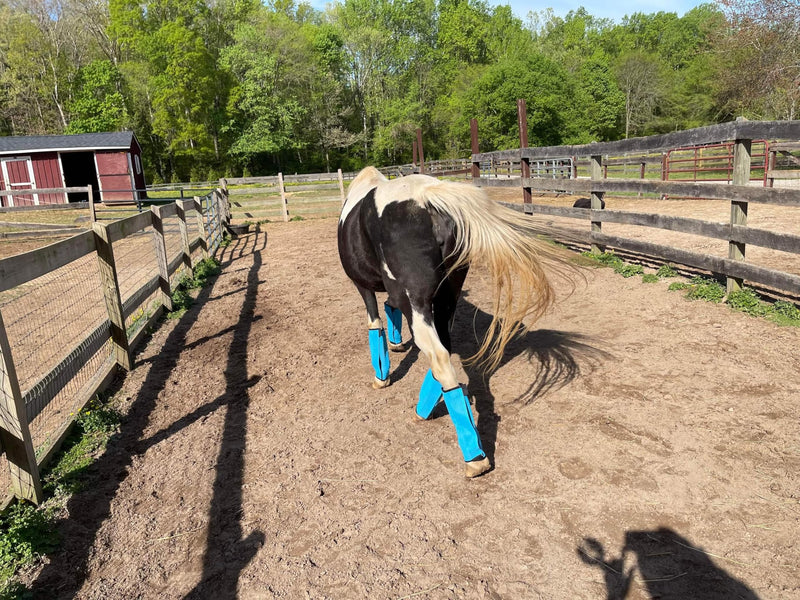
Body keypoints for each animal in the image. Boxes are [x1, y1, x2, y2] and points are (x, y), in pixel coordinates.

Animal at [337, 167, 565, 478]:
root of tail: (425, 197)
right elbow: (390, 311)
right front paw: (397, 345)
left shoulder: (363, 287)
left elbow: (376, 325)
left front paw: (381, 377)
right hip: (446, 298)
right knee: (443, 348)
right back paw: (427, 410)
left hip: (416, 302)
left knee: (439, 356)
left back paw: (473, 456)